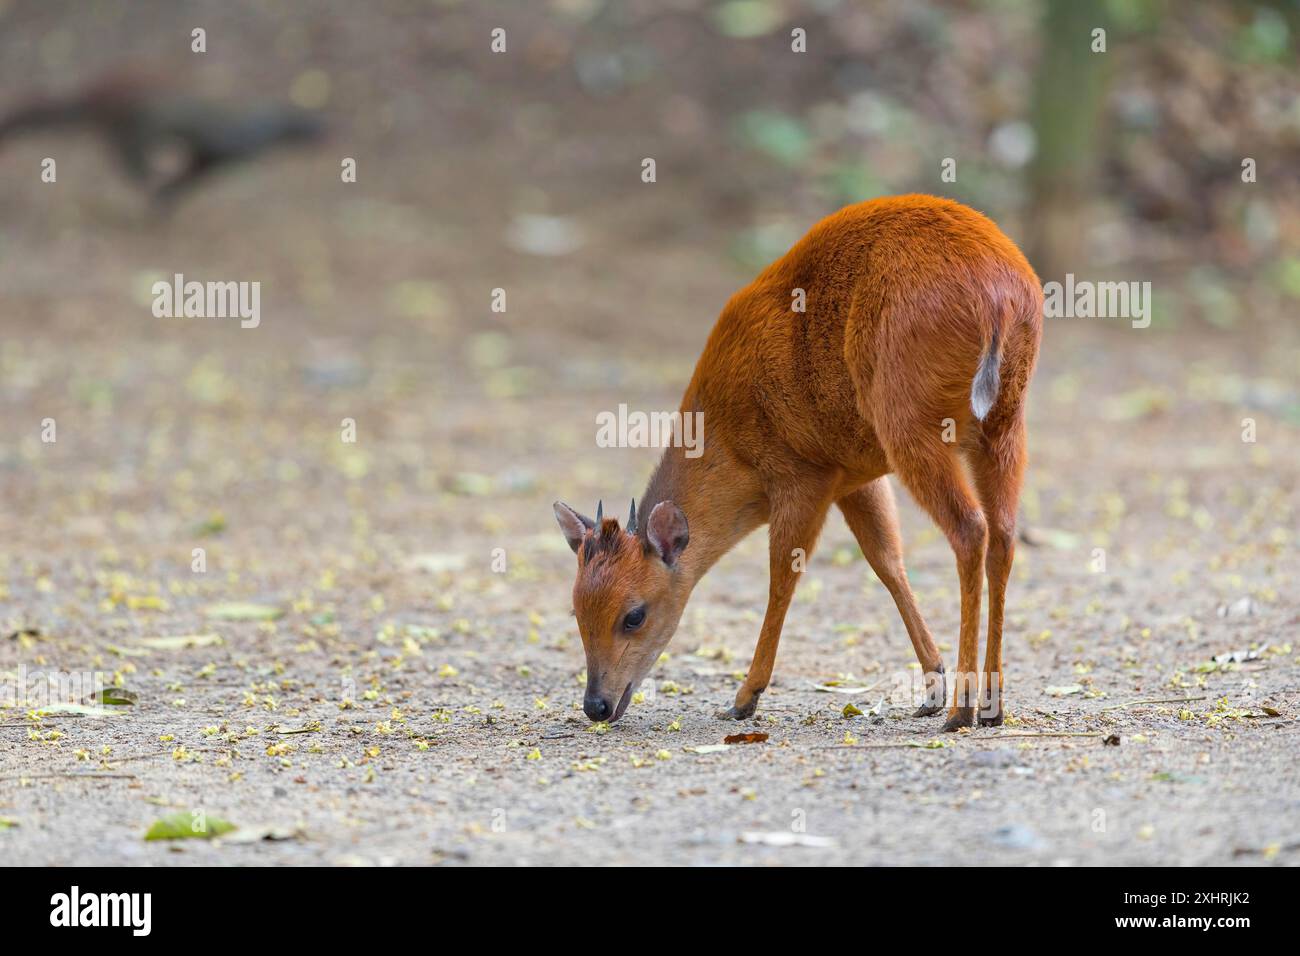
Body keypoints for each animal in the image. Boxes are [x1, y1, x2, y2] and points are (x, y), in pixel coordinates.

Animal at [553, 196, 1040, 733]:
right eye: (576, 611)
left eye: (634, 615)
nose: (595, 705)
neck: (729, 442)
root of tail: (1001, 299)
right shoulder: (852, 475)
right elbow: (887, 560)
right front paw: (931, 683)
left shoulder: (801, 473)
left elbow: (782, 578)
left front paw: (744, 697)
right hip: (1005, 423)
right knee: (1004, 534)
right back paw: (992, 704)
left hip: (910, 421)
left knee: (970, 529)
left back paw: (963, 709)